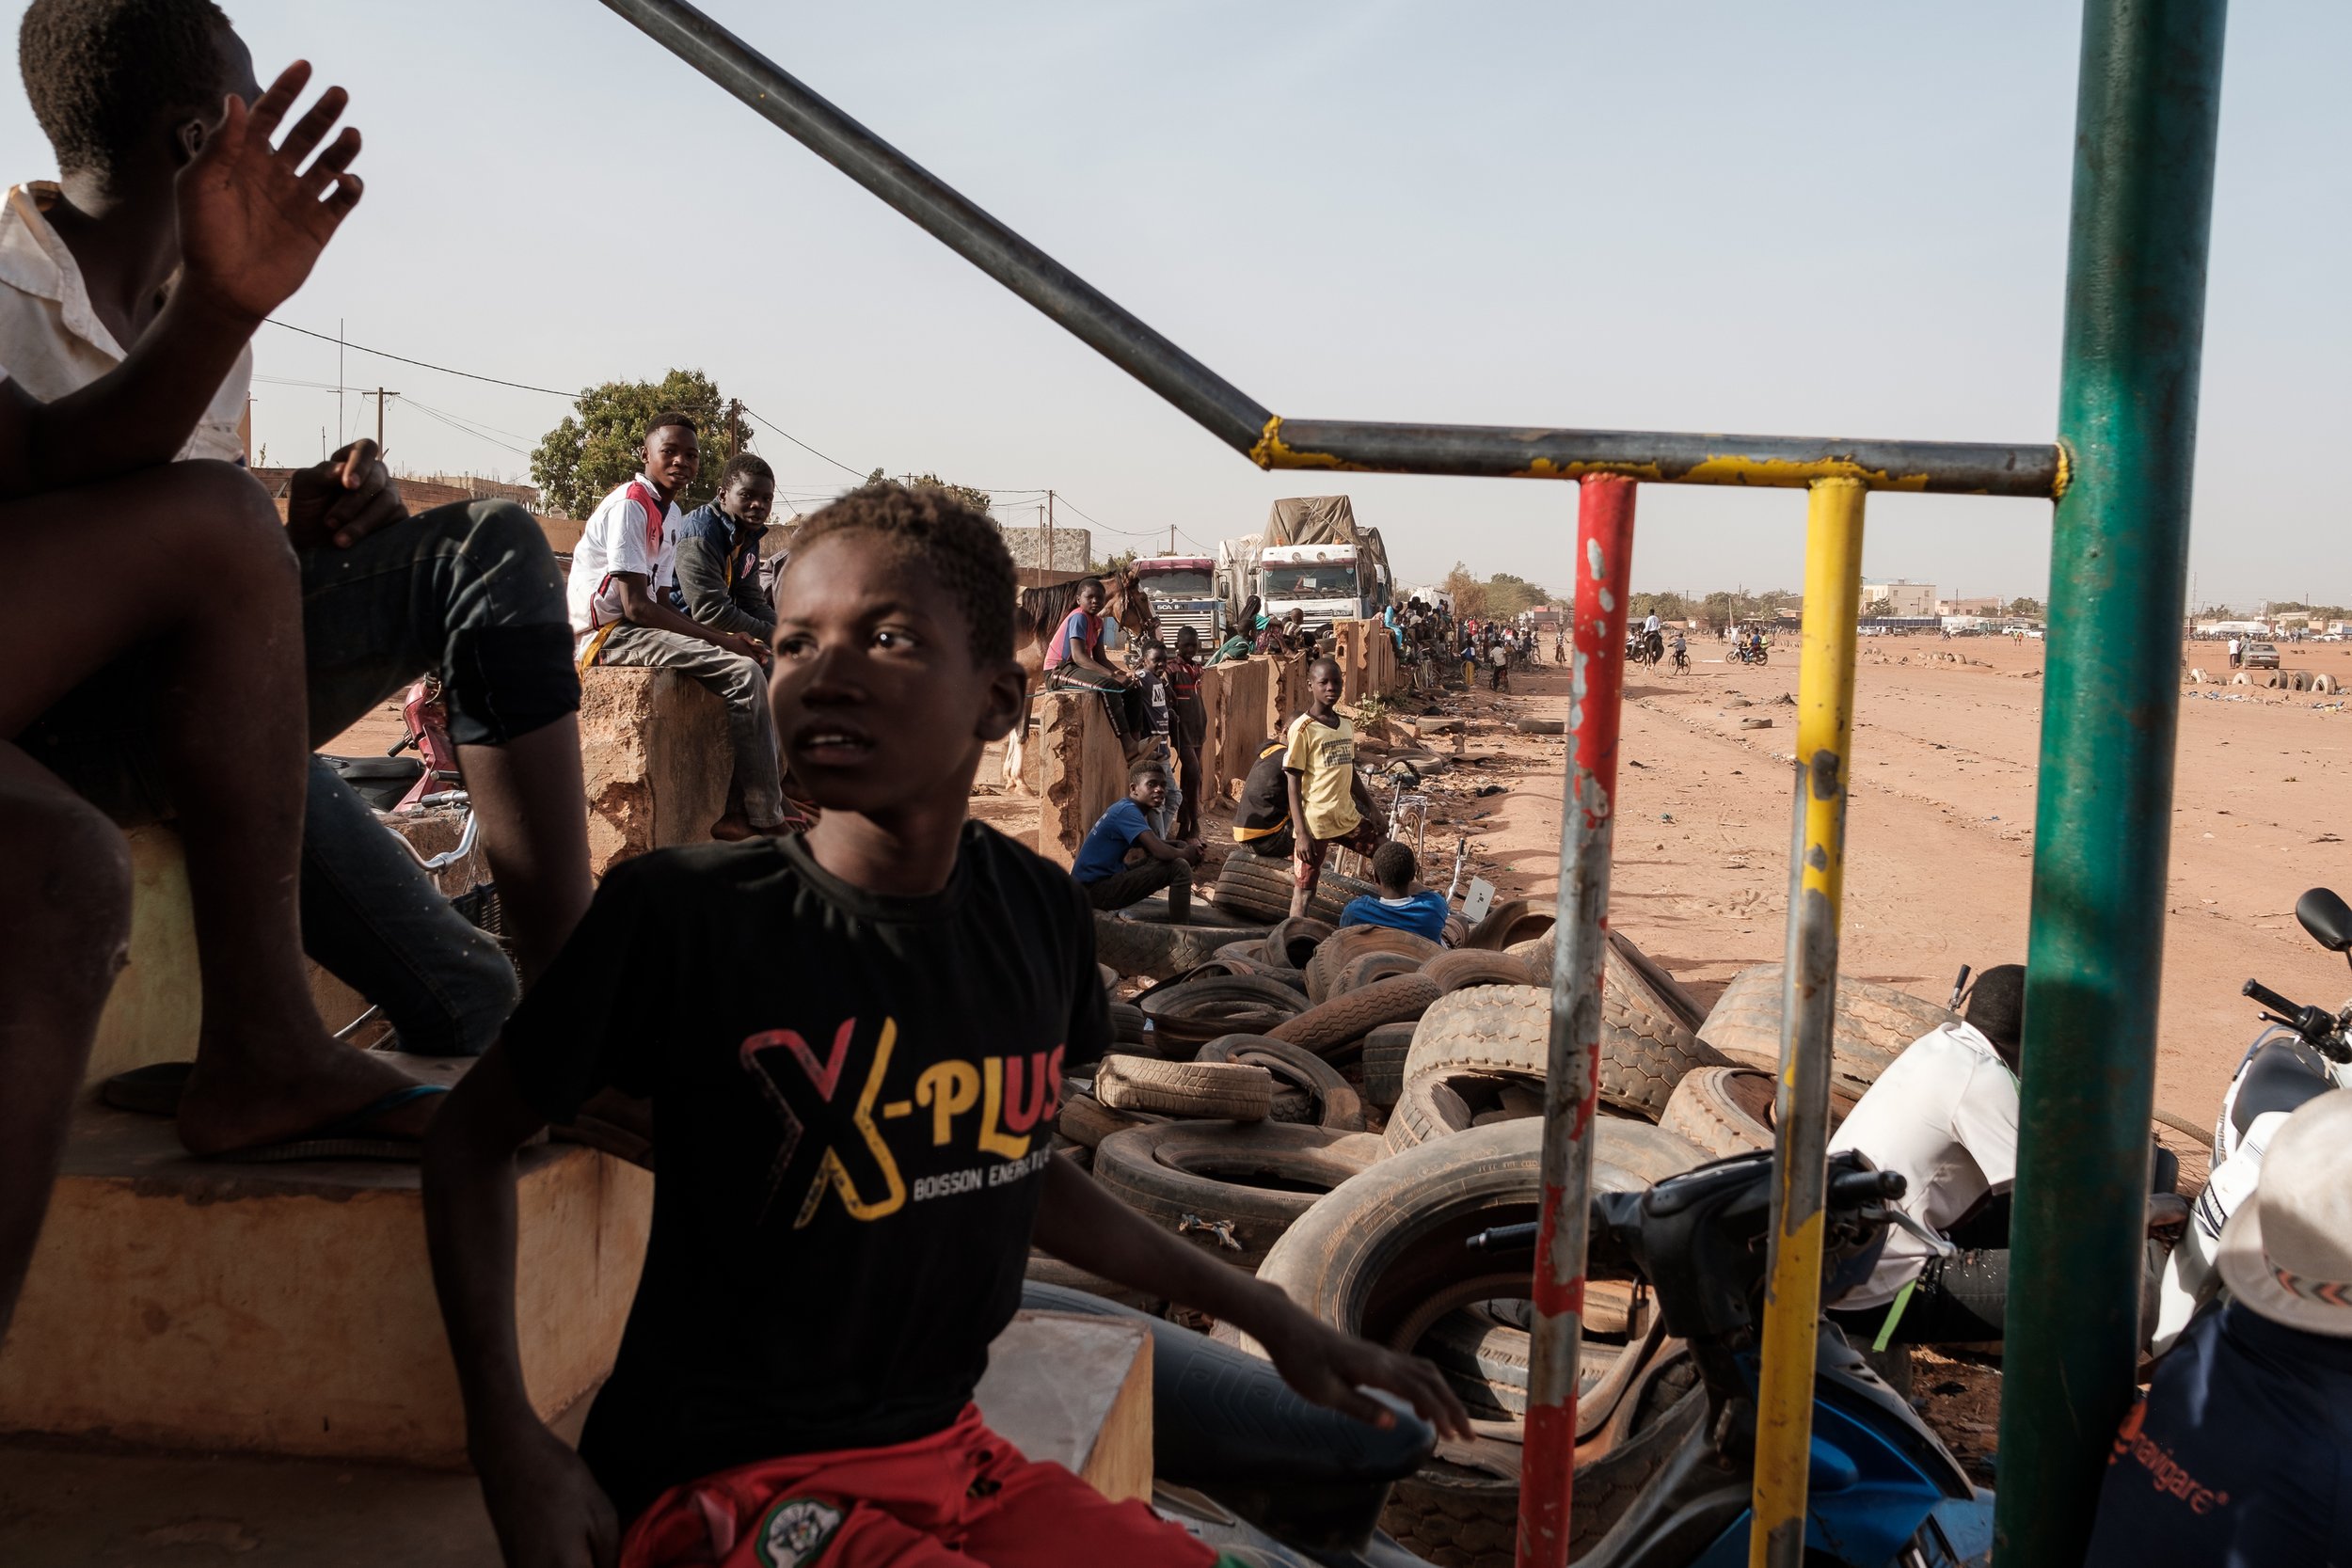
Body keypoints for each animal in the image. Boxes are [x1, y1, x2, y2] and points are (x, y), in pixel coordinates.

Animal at [1002, 563, 1157, 789]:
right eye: (1144, 598)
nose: (1156, 632)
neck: (1033, 628)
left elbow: (1014, 733)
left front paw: (1010, 777)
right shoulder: (1027, 684)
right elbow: (1021, 733)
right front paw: (1020, 782)